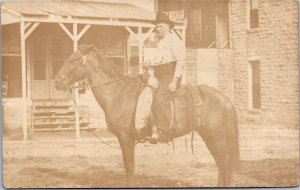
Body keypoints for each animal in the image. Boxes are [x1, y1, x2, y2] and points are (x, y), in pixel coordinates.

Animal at [54, 44, 240, 187]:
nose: (56, 82)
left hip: (217, 138)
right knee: (221, 163)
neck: (118, 93)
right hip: (210, 137)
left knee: (225, 163)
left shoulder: (126, 138)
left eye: (73, 60)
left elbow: (129, 167)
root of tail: (226, 100)